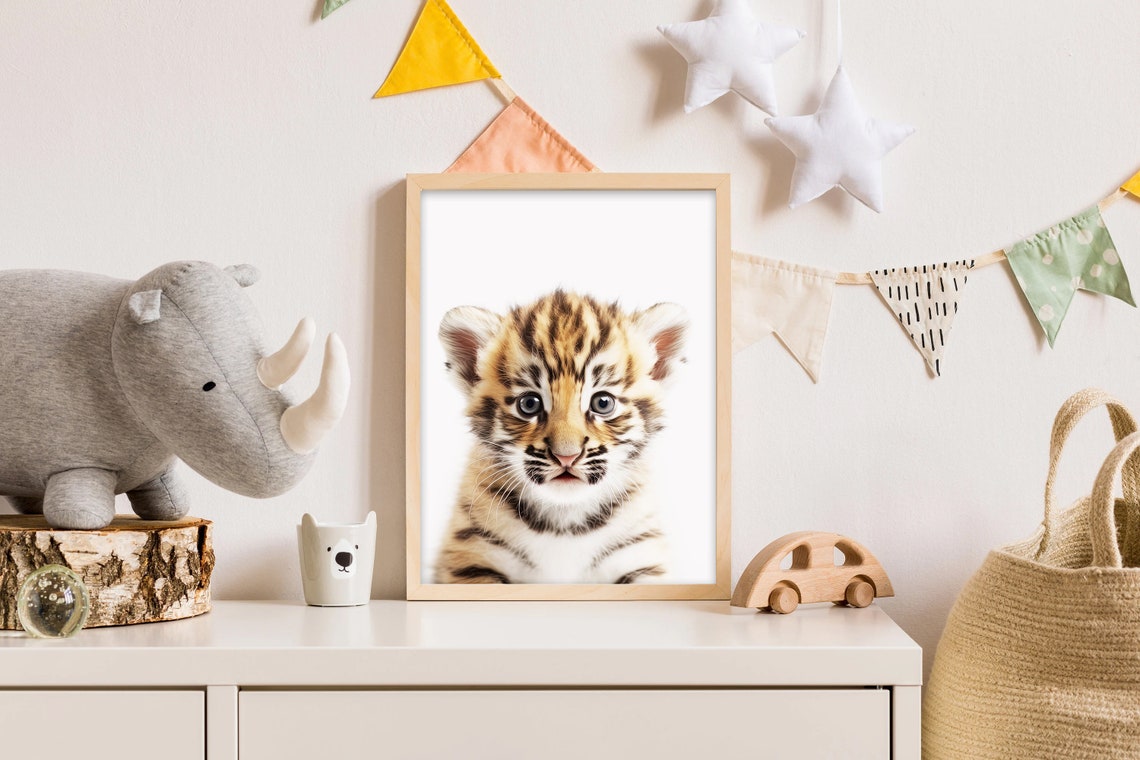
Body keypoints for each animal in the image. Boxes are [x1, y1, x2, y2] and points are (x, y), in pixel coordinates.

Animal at [433, 289, 688, 584]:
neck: (564, 521)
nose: (566, 456)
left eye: (603, 403)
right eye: (529, 404)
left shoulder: (642, 558)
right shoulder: (472, 560)